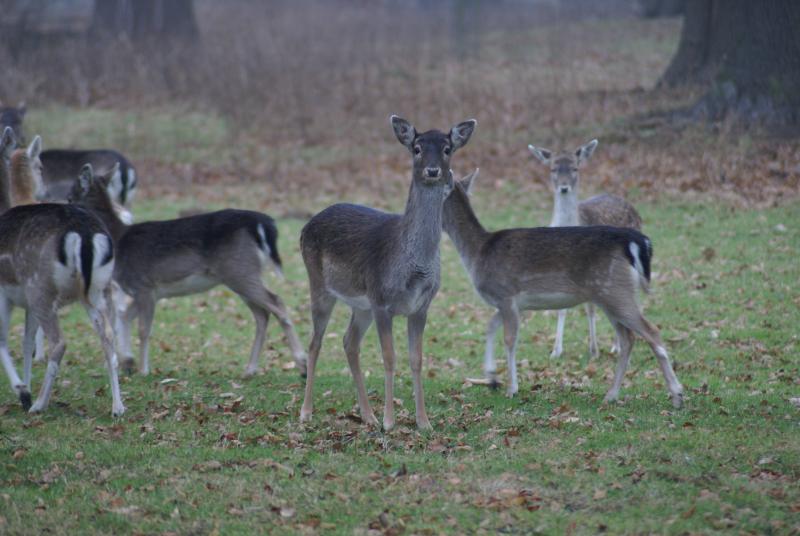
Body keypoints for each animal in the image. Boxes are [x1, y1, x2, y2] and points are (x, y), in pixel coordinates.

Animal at [0, 188, 122, 418]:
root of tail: (84, 234)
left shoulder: (5, 295)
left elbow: (3, 340)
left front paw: (23, 391)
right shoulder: (26, 305)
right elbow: (26, 342)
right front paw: (26, 391)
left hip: (39, 288)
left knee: (59, 342)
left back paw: (39, 404)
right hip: (98, 290)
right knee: (108, 337)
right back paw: (118, 407)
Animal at [68, 163, 306, 376]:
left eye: (71, 196)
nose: (63, 208)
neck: (119, 241)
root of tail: (260, 224)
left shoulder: (144, 285)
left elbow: (144, 329)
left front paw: (144, 370)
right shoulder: (147, 292)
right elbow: (126, 317)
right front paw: (129, 362)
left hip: (239, 271)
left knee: (277, 302)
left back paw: (302, 365)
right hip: (242, 274)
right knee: (262, 313)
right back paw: (249, 370)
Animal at [298, 115, 476, 430]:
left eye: (447, 148)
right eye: (416, 148)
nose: (433, 170)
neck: (413, 268)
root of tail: (304, 227)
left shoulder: (421, 307)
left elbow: (416, 359)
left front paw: (423, 422)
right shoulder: (382, 301)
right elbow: (389, 358)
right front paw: (389, 421)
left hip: (361, 305)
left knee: (349, 342)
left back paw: (366, 415)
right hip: (319, 284)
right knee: (315, 343)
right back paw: (306, 412)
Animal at [444, 170, 680, 408]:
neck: (478, 253)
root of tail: (634, 242)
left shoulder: (506, 295)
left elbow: (510, 339)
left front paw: (512, 389)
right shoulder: (508, 304)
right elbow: (490, 327)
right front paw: (492, 377)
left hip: (615, 292)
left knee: (651, 331)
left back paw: (677, 395)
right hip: (612, 296)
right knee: (628, 338)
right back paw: (611, 395)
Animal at [532, 139, 644, 360]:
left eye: (575, 168)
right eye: (553, 168)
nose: (564, 187)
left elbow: (590, 308)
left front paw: (594, 350)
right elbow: (562, 308)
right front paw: (556, 351)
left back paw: (618, 346)